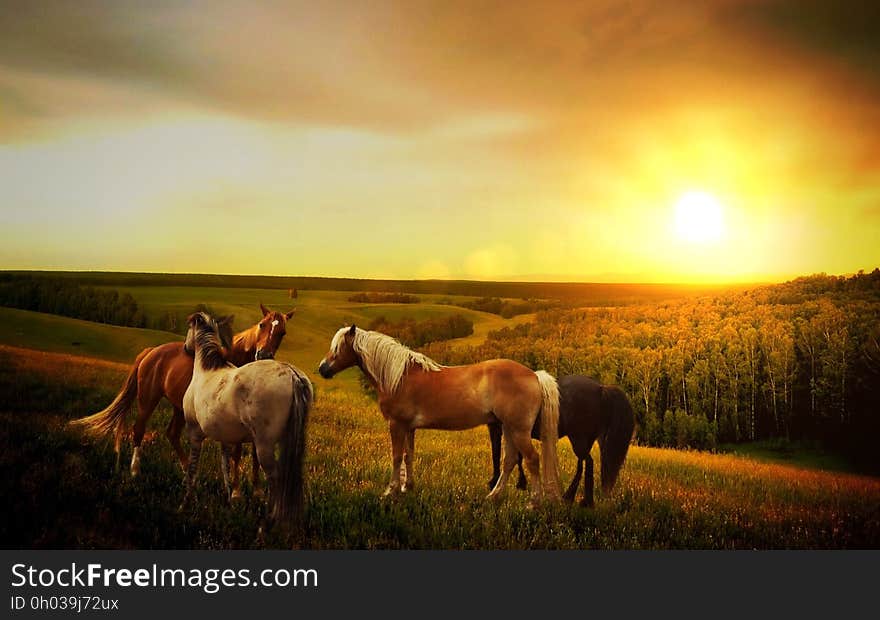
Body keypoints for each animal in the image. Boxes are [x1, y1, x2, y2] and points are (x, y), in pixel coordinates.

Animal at [181, 312, 312, 524]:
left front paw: (185, 504)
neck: (206, 370)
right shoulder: (226, 439)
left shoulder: (195, 434)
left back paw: (268, 520)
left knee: (275, 477)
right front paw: (230, 499)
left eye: (189, 328)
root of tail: (292, 375)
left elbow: (192, 470)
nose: (186, 348)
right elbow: (226, 467)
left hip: (264, 446)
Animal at [318, 324, 564, 504]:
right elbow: (408, 455)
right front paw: (408, 487)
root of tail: (534, 375)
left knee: (532, 460)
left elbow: (396, 457)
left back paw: (533, 502)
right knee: (510, 460)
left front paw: (390, 491)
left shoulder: (397, 424)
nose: (322, 369)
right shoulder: (409, 427)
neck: (399, 377)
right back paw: (493, 496)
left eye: (338, 348)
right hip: (508, 428)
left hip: (518, 430)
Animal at [484, 376, 636, 506]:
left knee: (588, 462)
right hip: (584, 440)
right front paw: (521, 483)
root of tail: (601, 389)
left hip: (579, 439)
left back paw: (583, 501)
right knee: (583, 463)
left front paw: (495, 483)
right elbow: (517, 458)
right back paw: (571, 497)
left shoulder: (500, 429)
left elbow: (498, 454)